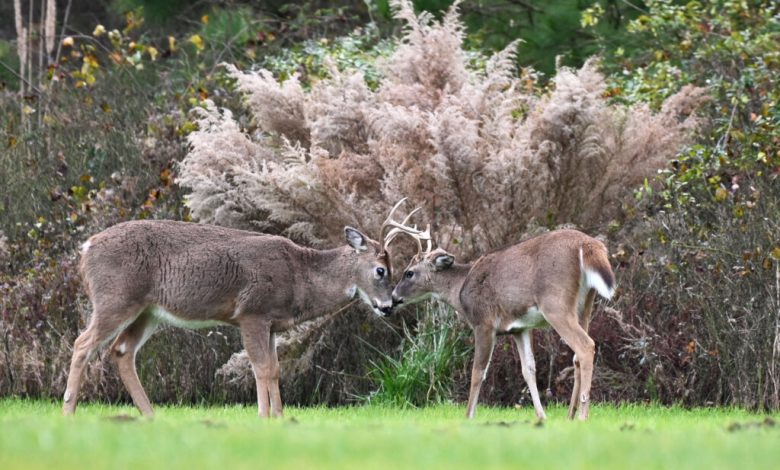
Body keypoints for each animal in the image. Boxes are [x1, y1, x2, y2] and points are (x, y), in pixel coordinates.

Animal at [63, 199, 424, 418]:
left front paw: (279, 416)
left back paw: (150, 415)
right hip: (115, 297)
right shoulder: (252, 312)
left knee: (122, 351)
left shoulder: (273, 324)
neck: (299, 275)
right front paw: (264, 416)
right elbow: (261, 367)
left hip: (147, 311)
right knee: (83, 343)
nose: (388, 306)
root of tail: (86, 247)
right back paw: (69, 411)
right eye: (381, 270)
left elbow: (274, 369)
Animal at [390, 228, 616, 422]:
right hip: (584, 305)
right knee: (577, 356)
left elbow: (478, 371)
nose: (392, 298)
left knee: (585, 346)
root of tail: (588, 245)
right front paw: (541, 416)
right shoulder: (519, 329)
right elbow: (528, 369)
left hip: (555, 303)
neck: (460, 290)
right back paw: (570, 415)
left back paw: (583, 416)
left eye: (408, 272)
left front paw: (468, 416)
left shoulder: (483, 323)